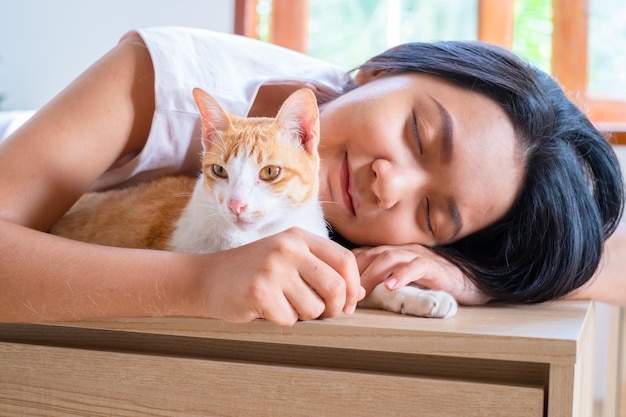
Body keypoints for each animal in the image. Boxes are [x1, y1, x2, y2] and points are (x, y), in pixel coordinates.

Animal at [50, 86, 454, 316]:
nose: (236, 205)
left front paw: (418, 296)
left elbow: (359, 283)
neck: (265, 234)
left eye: (270, 172)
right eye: (219, 171)